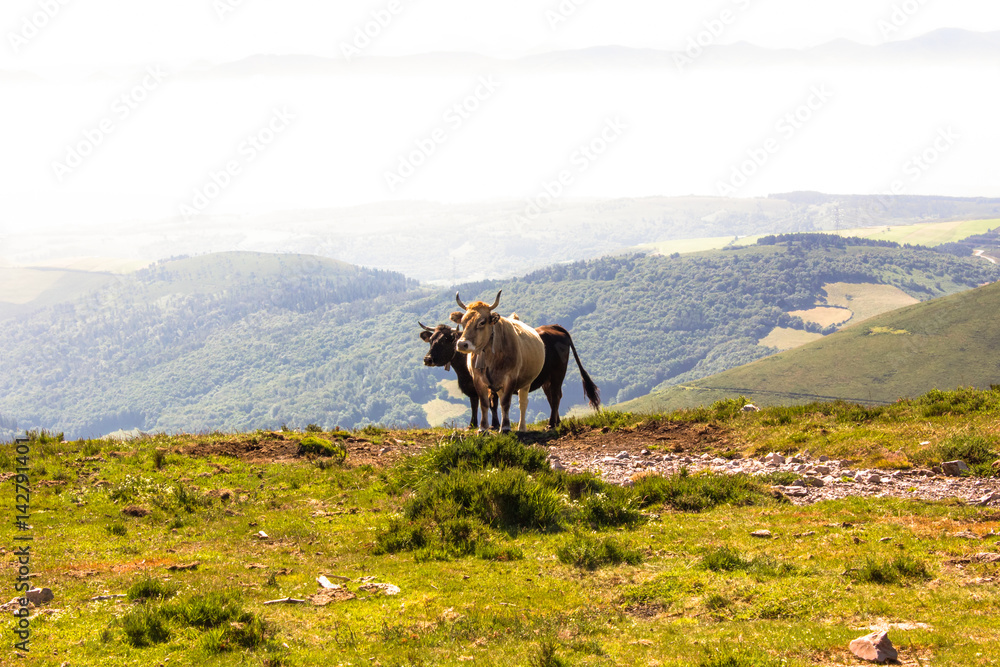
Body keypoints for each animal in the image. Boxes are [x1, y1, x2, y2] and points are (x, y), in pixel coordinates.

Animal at [456, 290, 544, 434]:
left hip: (526, 382)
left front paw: (506, 427)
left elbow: (506, 403)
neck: (490, 357)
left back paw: (521, 427)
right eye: (463, 321)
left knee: (523, 403)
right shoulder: (478, 379)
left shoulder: (511, 377)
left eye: (482, 322)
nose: (462, 344)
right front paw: (483, 428)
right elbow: (485, 403)